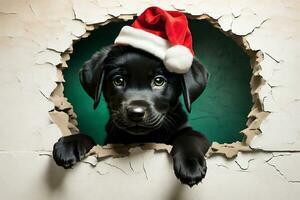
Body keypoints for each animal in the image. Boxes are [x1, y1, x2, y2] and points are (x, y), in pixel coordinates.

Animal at [52, 44, 211, 187]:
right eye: (118, 80)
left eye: (159, 81)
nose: (136, 113)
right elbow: (91, 140)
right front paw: (69, 144)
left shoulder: (193, 133)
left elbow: (190, 137)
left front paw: (190, 164)